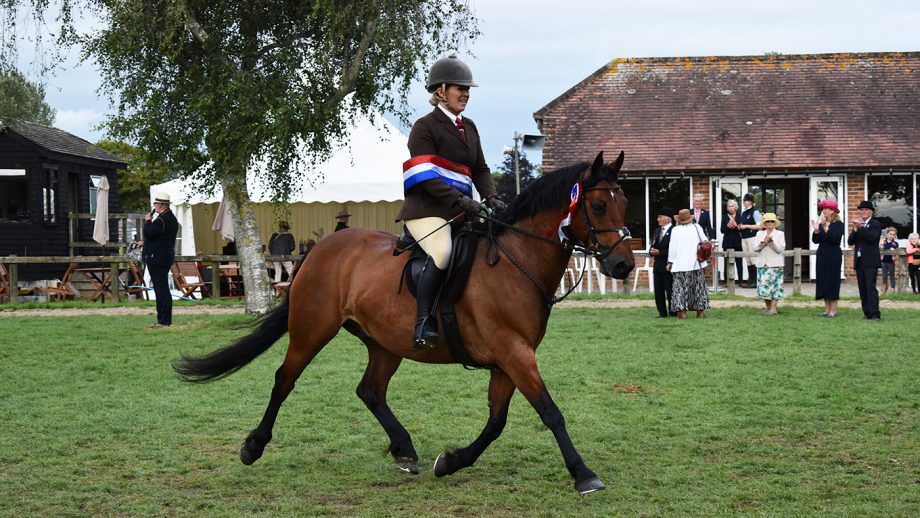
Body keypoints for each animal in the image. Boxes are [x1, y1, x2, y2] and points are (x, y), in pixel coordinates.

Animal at [171, 151, 632, 496]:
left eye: (624, 203)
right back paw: (253, 446)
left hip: (386, 343)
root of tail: (322, 247)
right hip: (312, 330)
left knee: (370, 390)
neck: (516, 261)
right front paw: (584, 474)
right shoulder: (513, 352)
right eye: (598, 205)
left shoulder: (509, 359)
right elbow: (550, 412)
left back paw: (404, 450)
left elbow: (497, 422)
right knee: (285, 379)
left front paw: (451, 461)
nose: (624, 265)